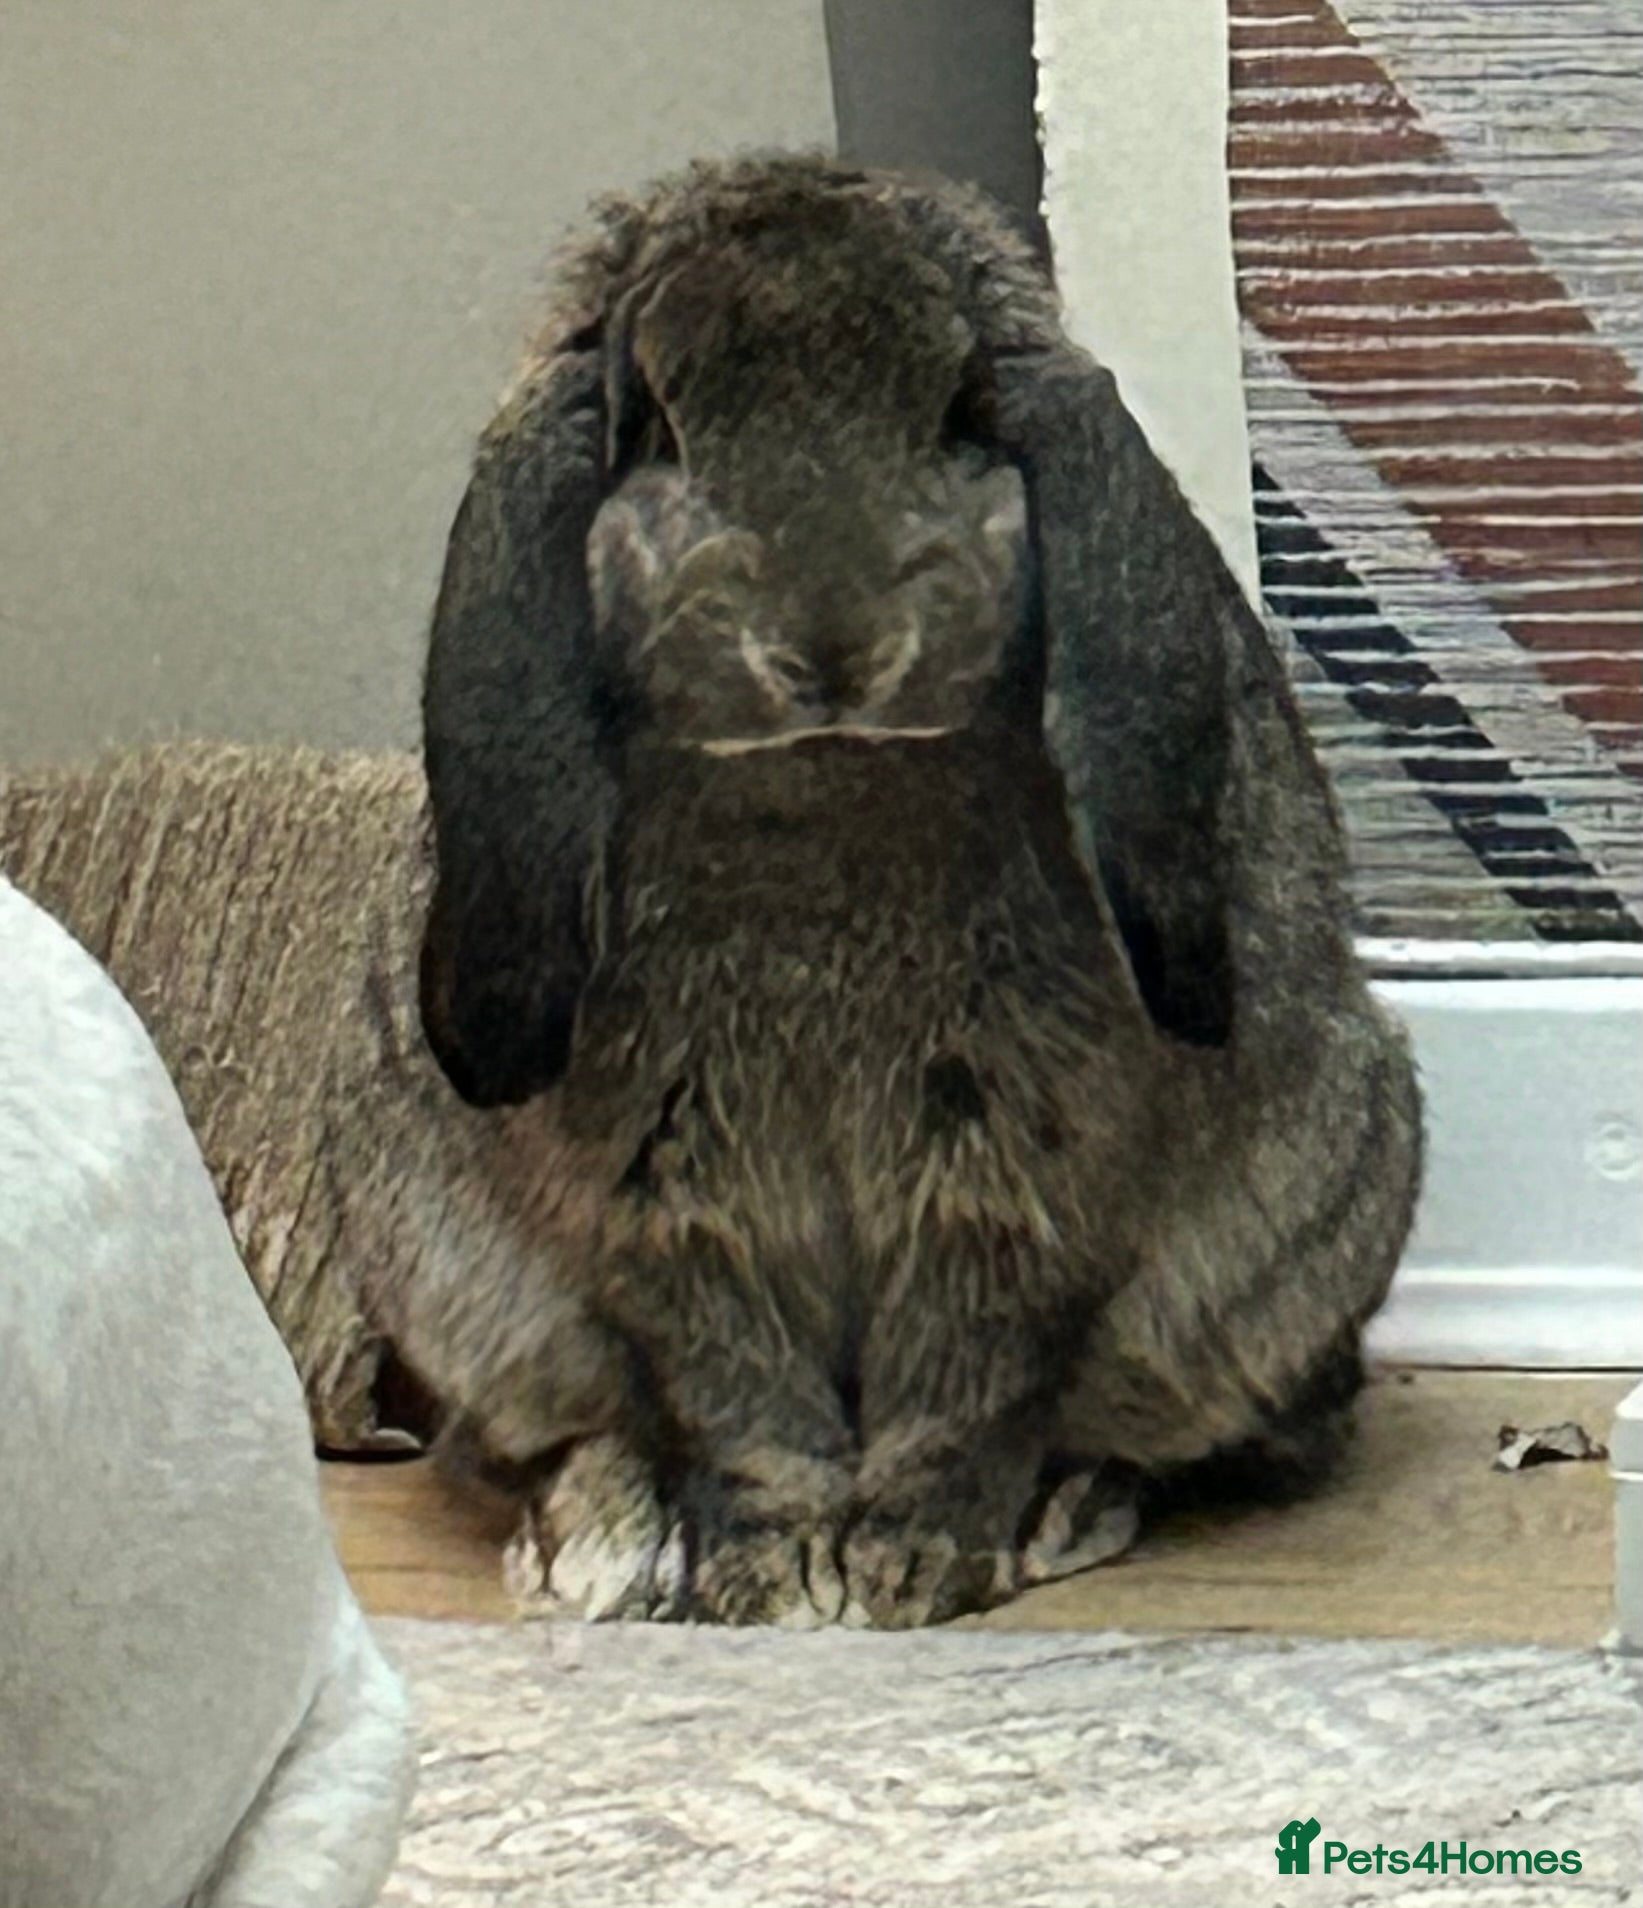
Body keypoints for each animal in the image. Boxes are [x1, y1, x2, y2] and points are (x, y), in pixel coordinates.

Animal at [404, 152, 1423, 1631]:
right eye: (654, 425)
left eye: (959, 408)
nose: (830, 651)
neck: (827, 779)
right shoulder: (672, 1187)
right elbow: (734, 1401)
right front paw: (773, 1577)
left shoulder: (1002, 1168)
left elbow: (971, 1379)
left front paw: (907, 1569)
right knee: (541, 1437)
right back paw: (598, 1549)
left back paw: (1062, 1508)